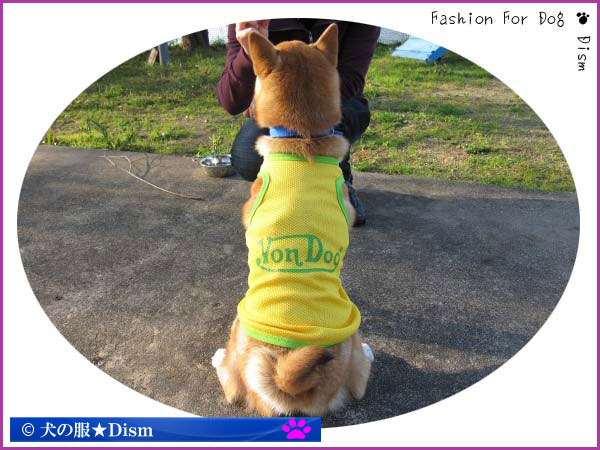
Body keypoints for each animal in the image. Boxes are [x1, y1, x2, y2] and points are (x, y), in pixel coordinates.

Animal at [212, 23, 373, 417]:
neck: (304, 137)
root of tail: (288, 375)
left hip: (238, 325)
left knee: (231, 385)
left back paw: (219, 358)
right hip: (352, 334)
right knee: (359, 383)